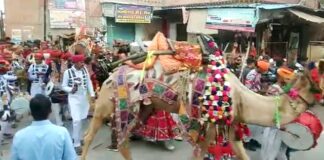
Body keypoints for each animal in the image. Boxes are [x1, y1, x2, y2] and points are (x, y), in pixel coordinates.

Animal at [80, 32, 322, 160]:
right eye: (318, 82)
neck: (239, 97)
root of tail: (111, 73)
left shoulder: (230, 125)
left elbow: (241, 153)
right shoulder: (205, 124)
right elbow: (198, 153)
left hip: (143, 108)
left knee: (124, 140)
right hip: (109, 102)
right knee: (90, 134)